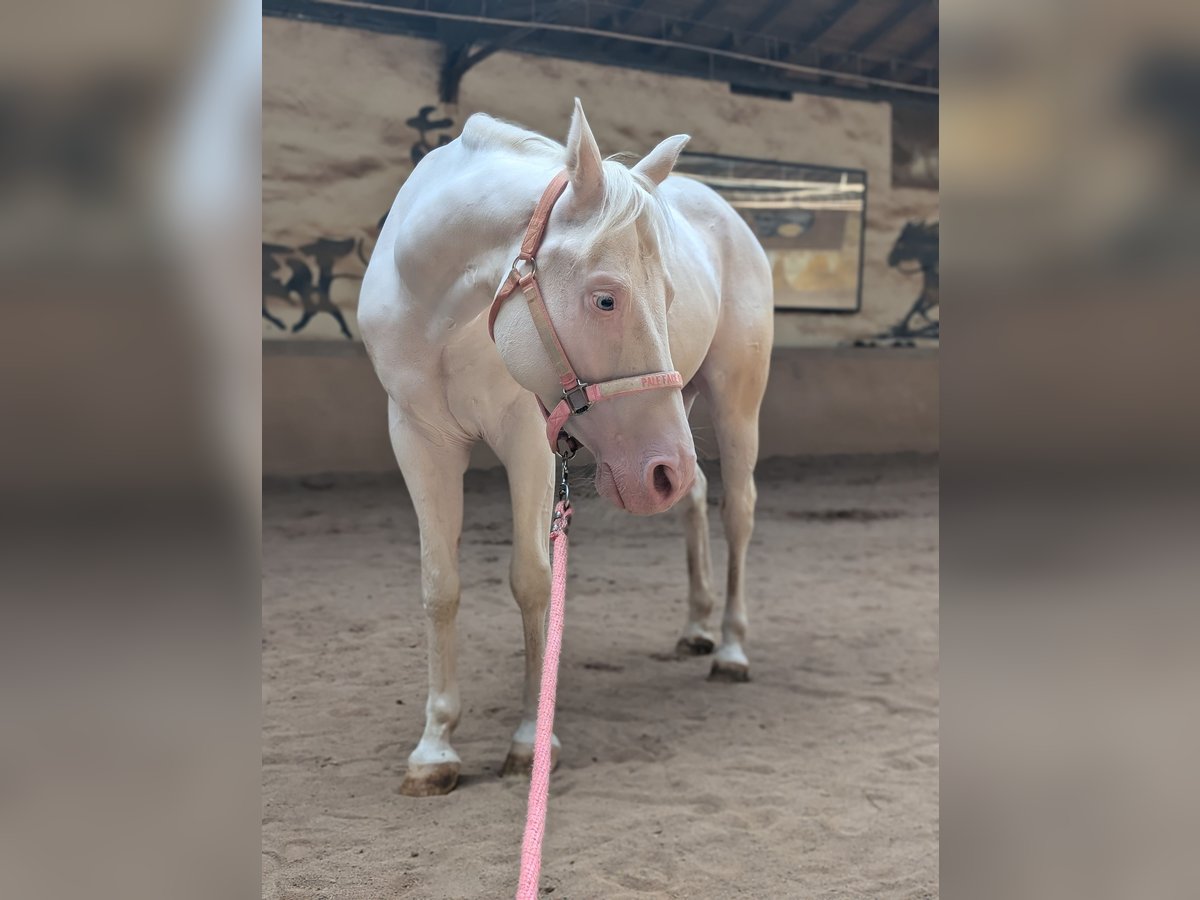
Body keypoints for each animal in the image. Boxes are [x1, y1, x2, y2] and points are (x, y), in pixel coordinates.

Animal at [357, 100, 768, 796]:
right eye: (606, 297)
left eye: (669, 296)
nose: (659, 473)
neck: (443, 312)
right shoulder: (417, 438)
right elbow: (440, 585)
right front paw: (435, 748)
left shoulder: (527, 439)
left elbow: (532, 580)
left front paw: (531, 741)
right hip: (673, 418)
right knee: (696, 497)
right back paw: (696, 629)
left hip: (730, 404)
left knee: (736, 508)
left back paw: (734, 650)